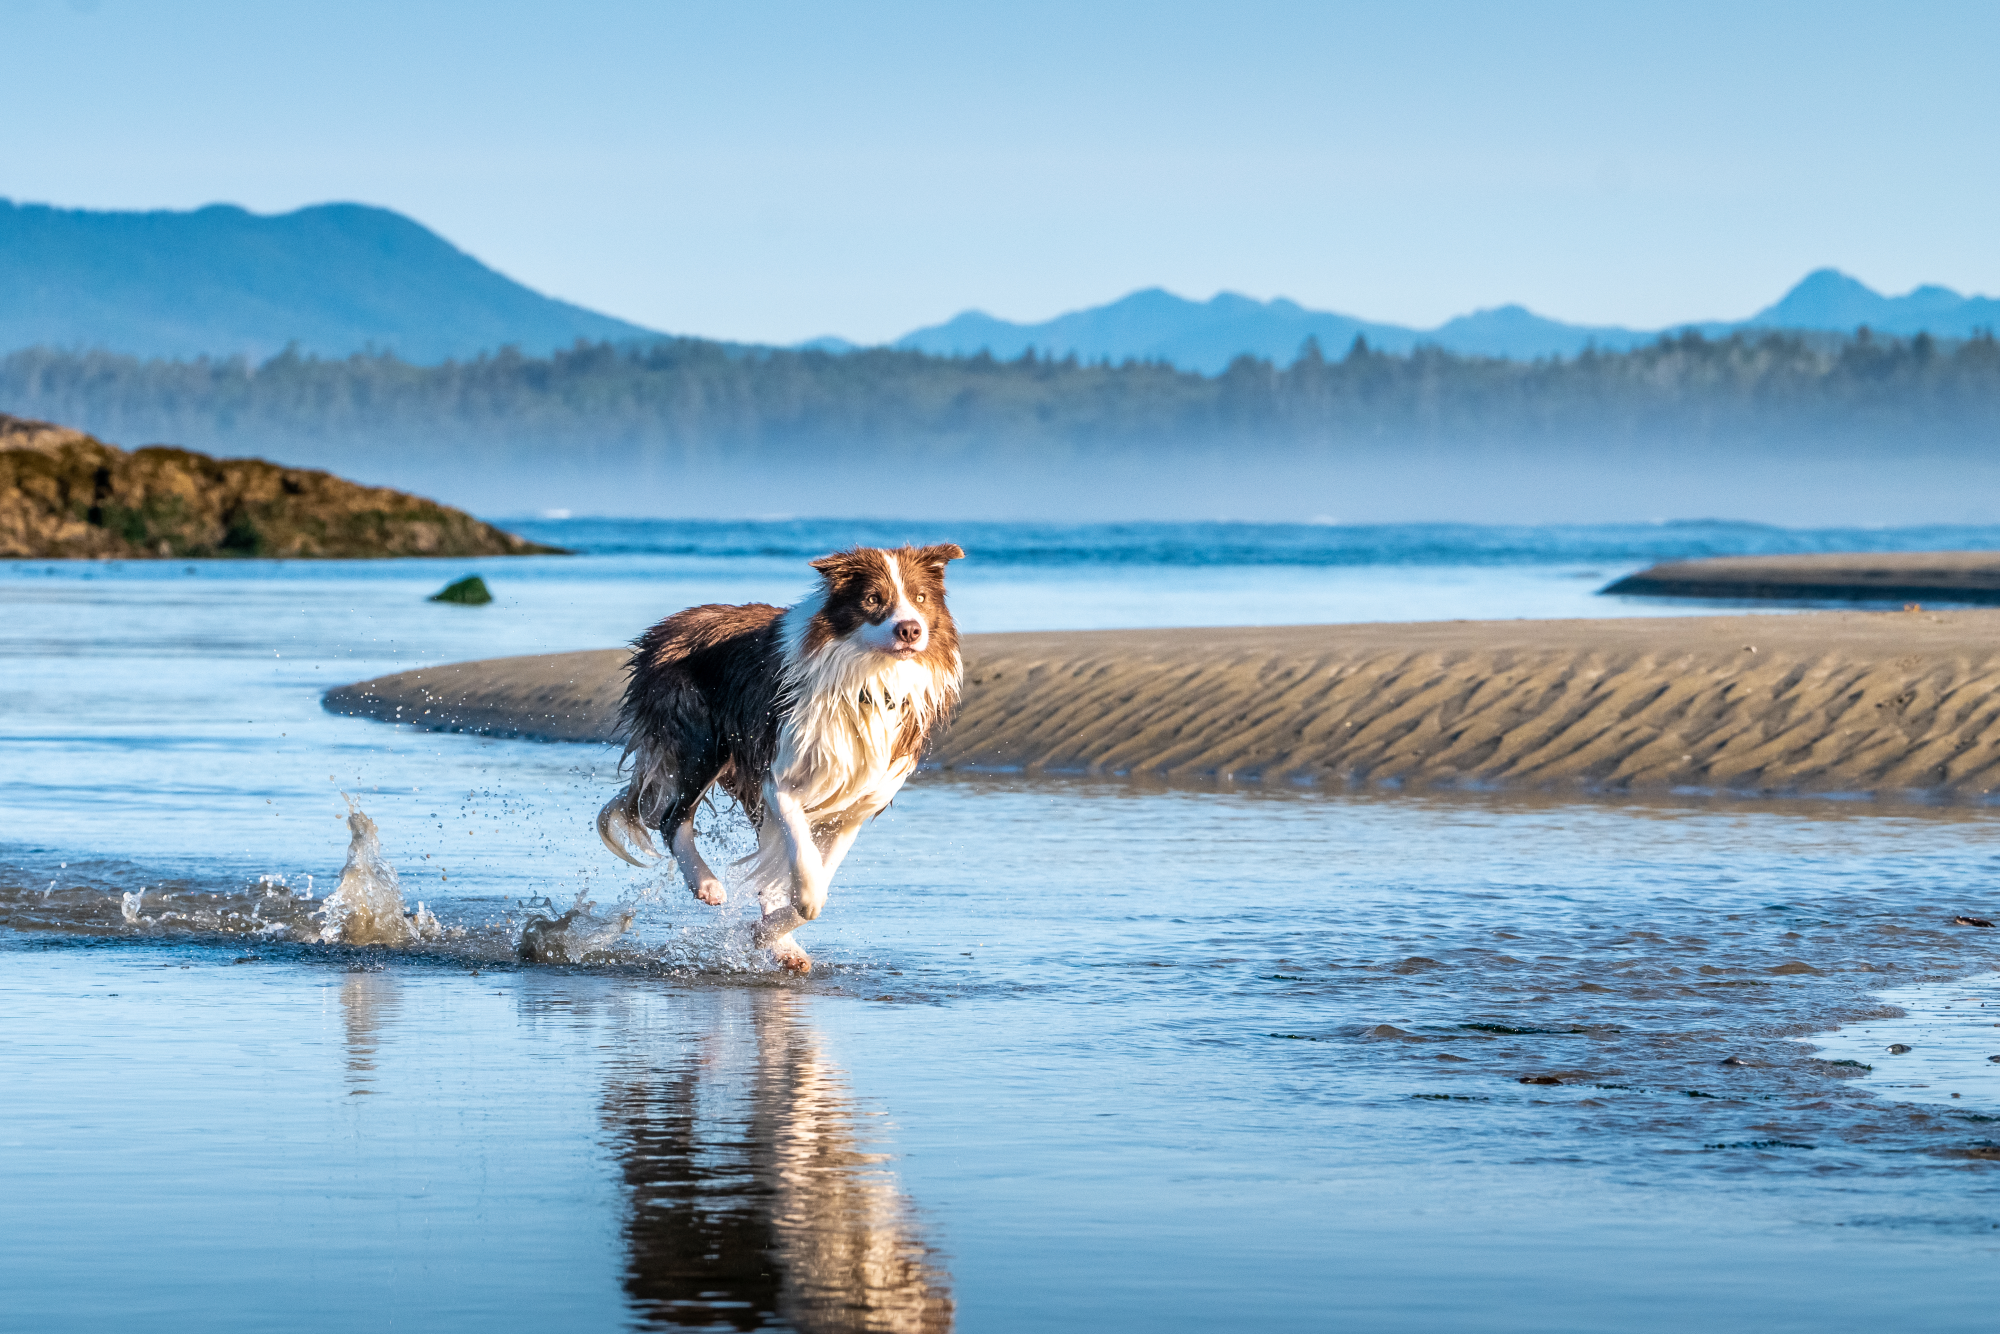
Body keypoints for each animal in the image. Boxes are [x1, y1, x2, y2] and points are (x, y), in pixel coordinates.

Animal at [596, 544, 964, 972]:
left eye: (920, 598)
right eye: (873, 599)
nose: (910, 630)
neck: (867, 679)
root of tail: (666, 627)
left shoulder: (856, 803)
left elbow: (819, 870)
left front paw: (768, 933)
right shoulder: (778, 775)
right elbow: (805, 863)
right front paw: (798, 905)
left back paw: (784, 946)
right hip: (702, 741)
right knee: (673, 817)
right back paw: (707, 884)